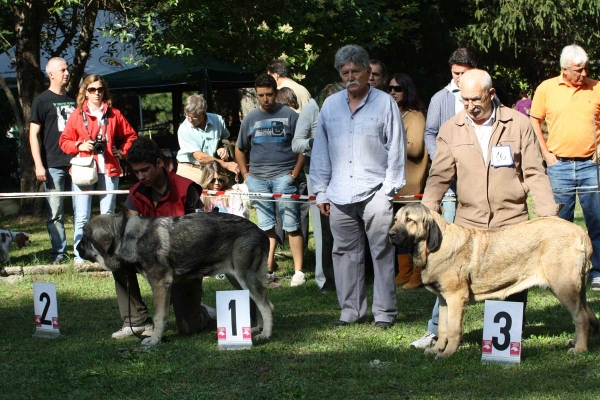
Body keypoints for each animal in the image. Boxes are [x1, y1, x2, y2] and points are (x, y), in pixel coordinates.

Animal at [77, 212, 274, 346]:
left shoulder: (160, 285)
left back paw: (265, 334)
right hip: (238, 279)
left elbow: (158, 317)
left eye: (86, 238)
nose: (77, 248)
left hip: (245, 277)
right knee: (260, 302)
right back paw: (257, 328)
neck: (126, 236)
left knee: (266, 305)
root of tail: (261, 232)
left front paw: (154, 341)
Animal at [386, 205, 596, 358]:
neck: (433, 248)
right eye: (395, 219)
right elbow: (443, 328)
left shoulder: (455, 298)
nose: (390, 234)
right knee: (585, 314)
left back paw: (580, 349)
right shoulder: (444, 299)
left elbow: (453, 329)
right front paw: (437, 348)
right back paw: (575, 342)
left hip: (564, 287)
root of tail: (580, 232)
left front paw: (447, 353)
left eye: (409, 220)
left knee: (581, 317)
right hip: (574, 289)